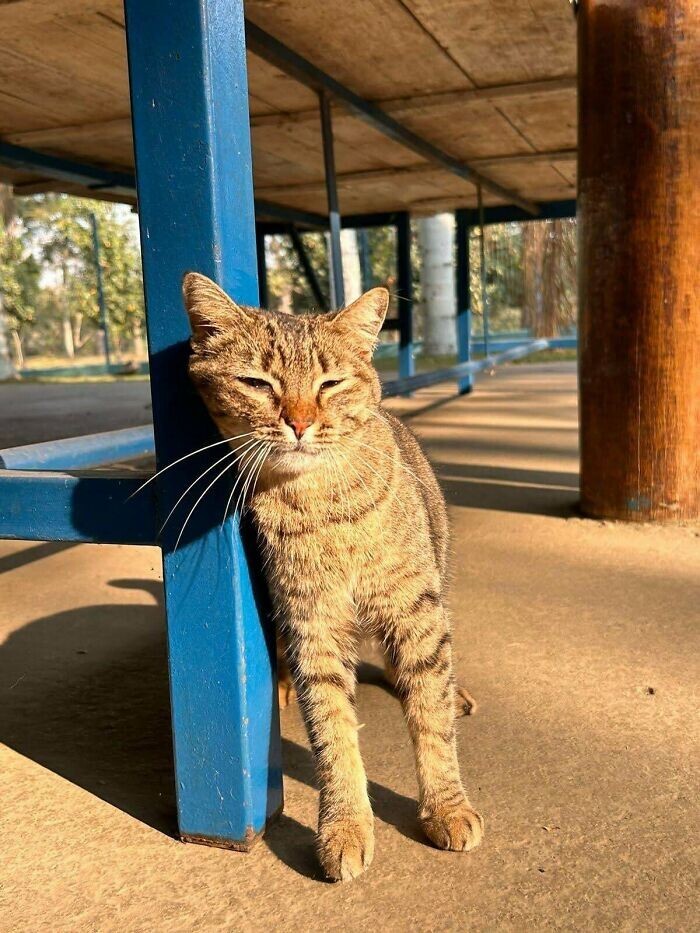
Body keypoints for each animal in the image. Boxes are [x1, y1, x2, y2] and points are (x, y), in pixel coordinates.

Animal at [183, 272, 484, 880]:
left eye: (331, 383)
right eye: (257, 383)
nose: (299, 423)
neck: (320, 503)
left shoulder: (415, 610)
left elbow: (432, 719)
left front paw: (446, 804)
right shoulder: (312, 625)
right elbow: (332, 731)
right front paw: (343, 824)